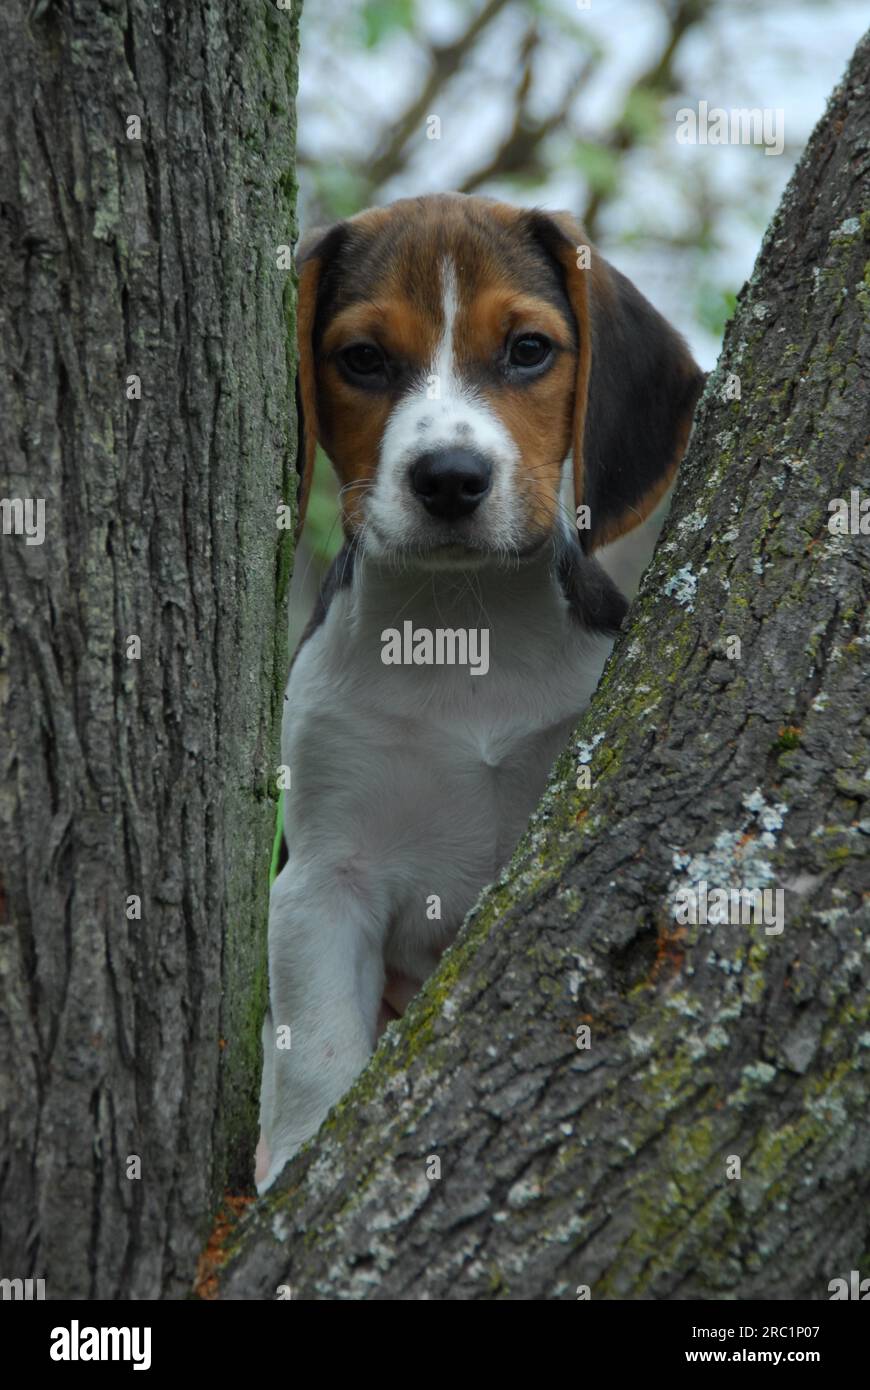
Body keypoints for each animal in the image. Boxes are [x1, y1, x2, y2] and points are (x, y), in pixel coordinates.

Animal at [254, 193, 700, 1195]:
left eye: (529, 349)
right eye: (362, 359)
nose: (450, 480)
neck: (463, 627)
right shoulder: (323, 879)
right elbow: (317, 1057)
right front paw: (296, 1167)